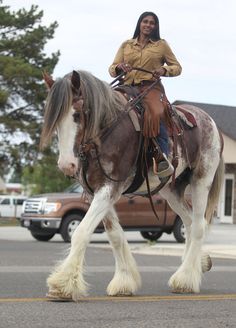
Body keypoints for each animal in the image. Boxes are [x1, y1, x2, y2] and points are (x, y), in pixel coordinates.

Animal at [41, 70, 225, 302]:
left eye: (77, 114)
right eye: (55, 120)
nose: (67, 165)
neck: (106, 132)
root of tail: (209, 120)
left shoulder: (109, 187)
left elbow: (81, 232)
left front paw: (63, 284)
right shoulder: (95, 192)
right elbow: (115, 235)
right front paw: (124, 281)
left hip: (201, 179)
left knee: (199, 225)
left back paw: (185, 279)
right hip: (171, 190)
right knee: (190, 222)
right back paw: (196, 265)